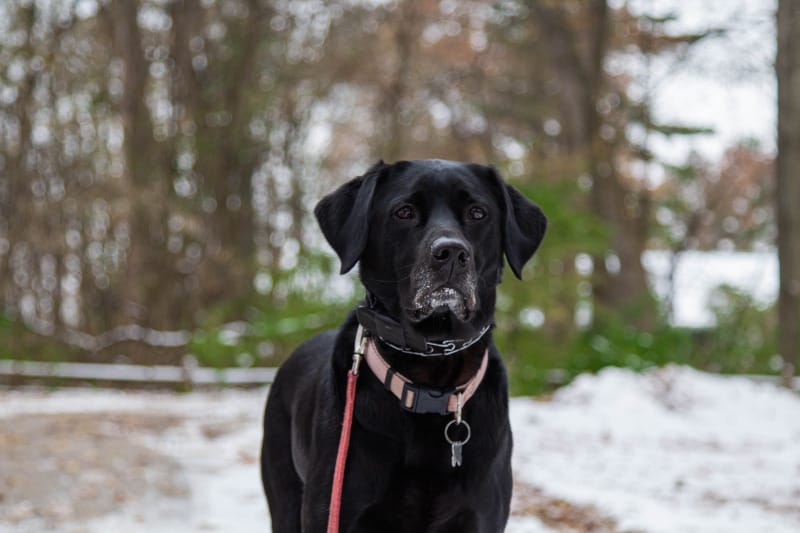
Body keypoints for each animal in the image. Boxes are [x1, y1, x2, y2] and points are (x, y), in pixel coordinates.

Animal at [260, 159, 548, 532]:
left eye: (478, 212)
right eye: (404, 212)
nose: (451, 252)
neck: (431, 377)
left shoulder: (480, 516)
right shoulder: (336, 512)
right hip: (285, 499)